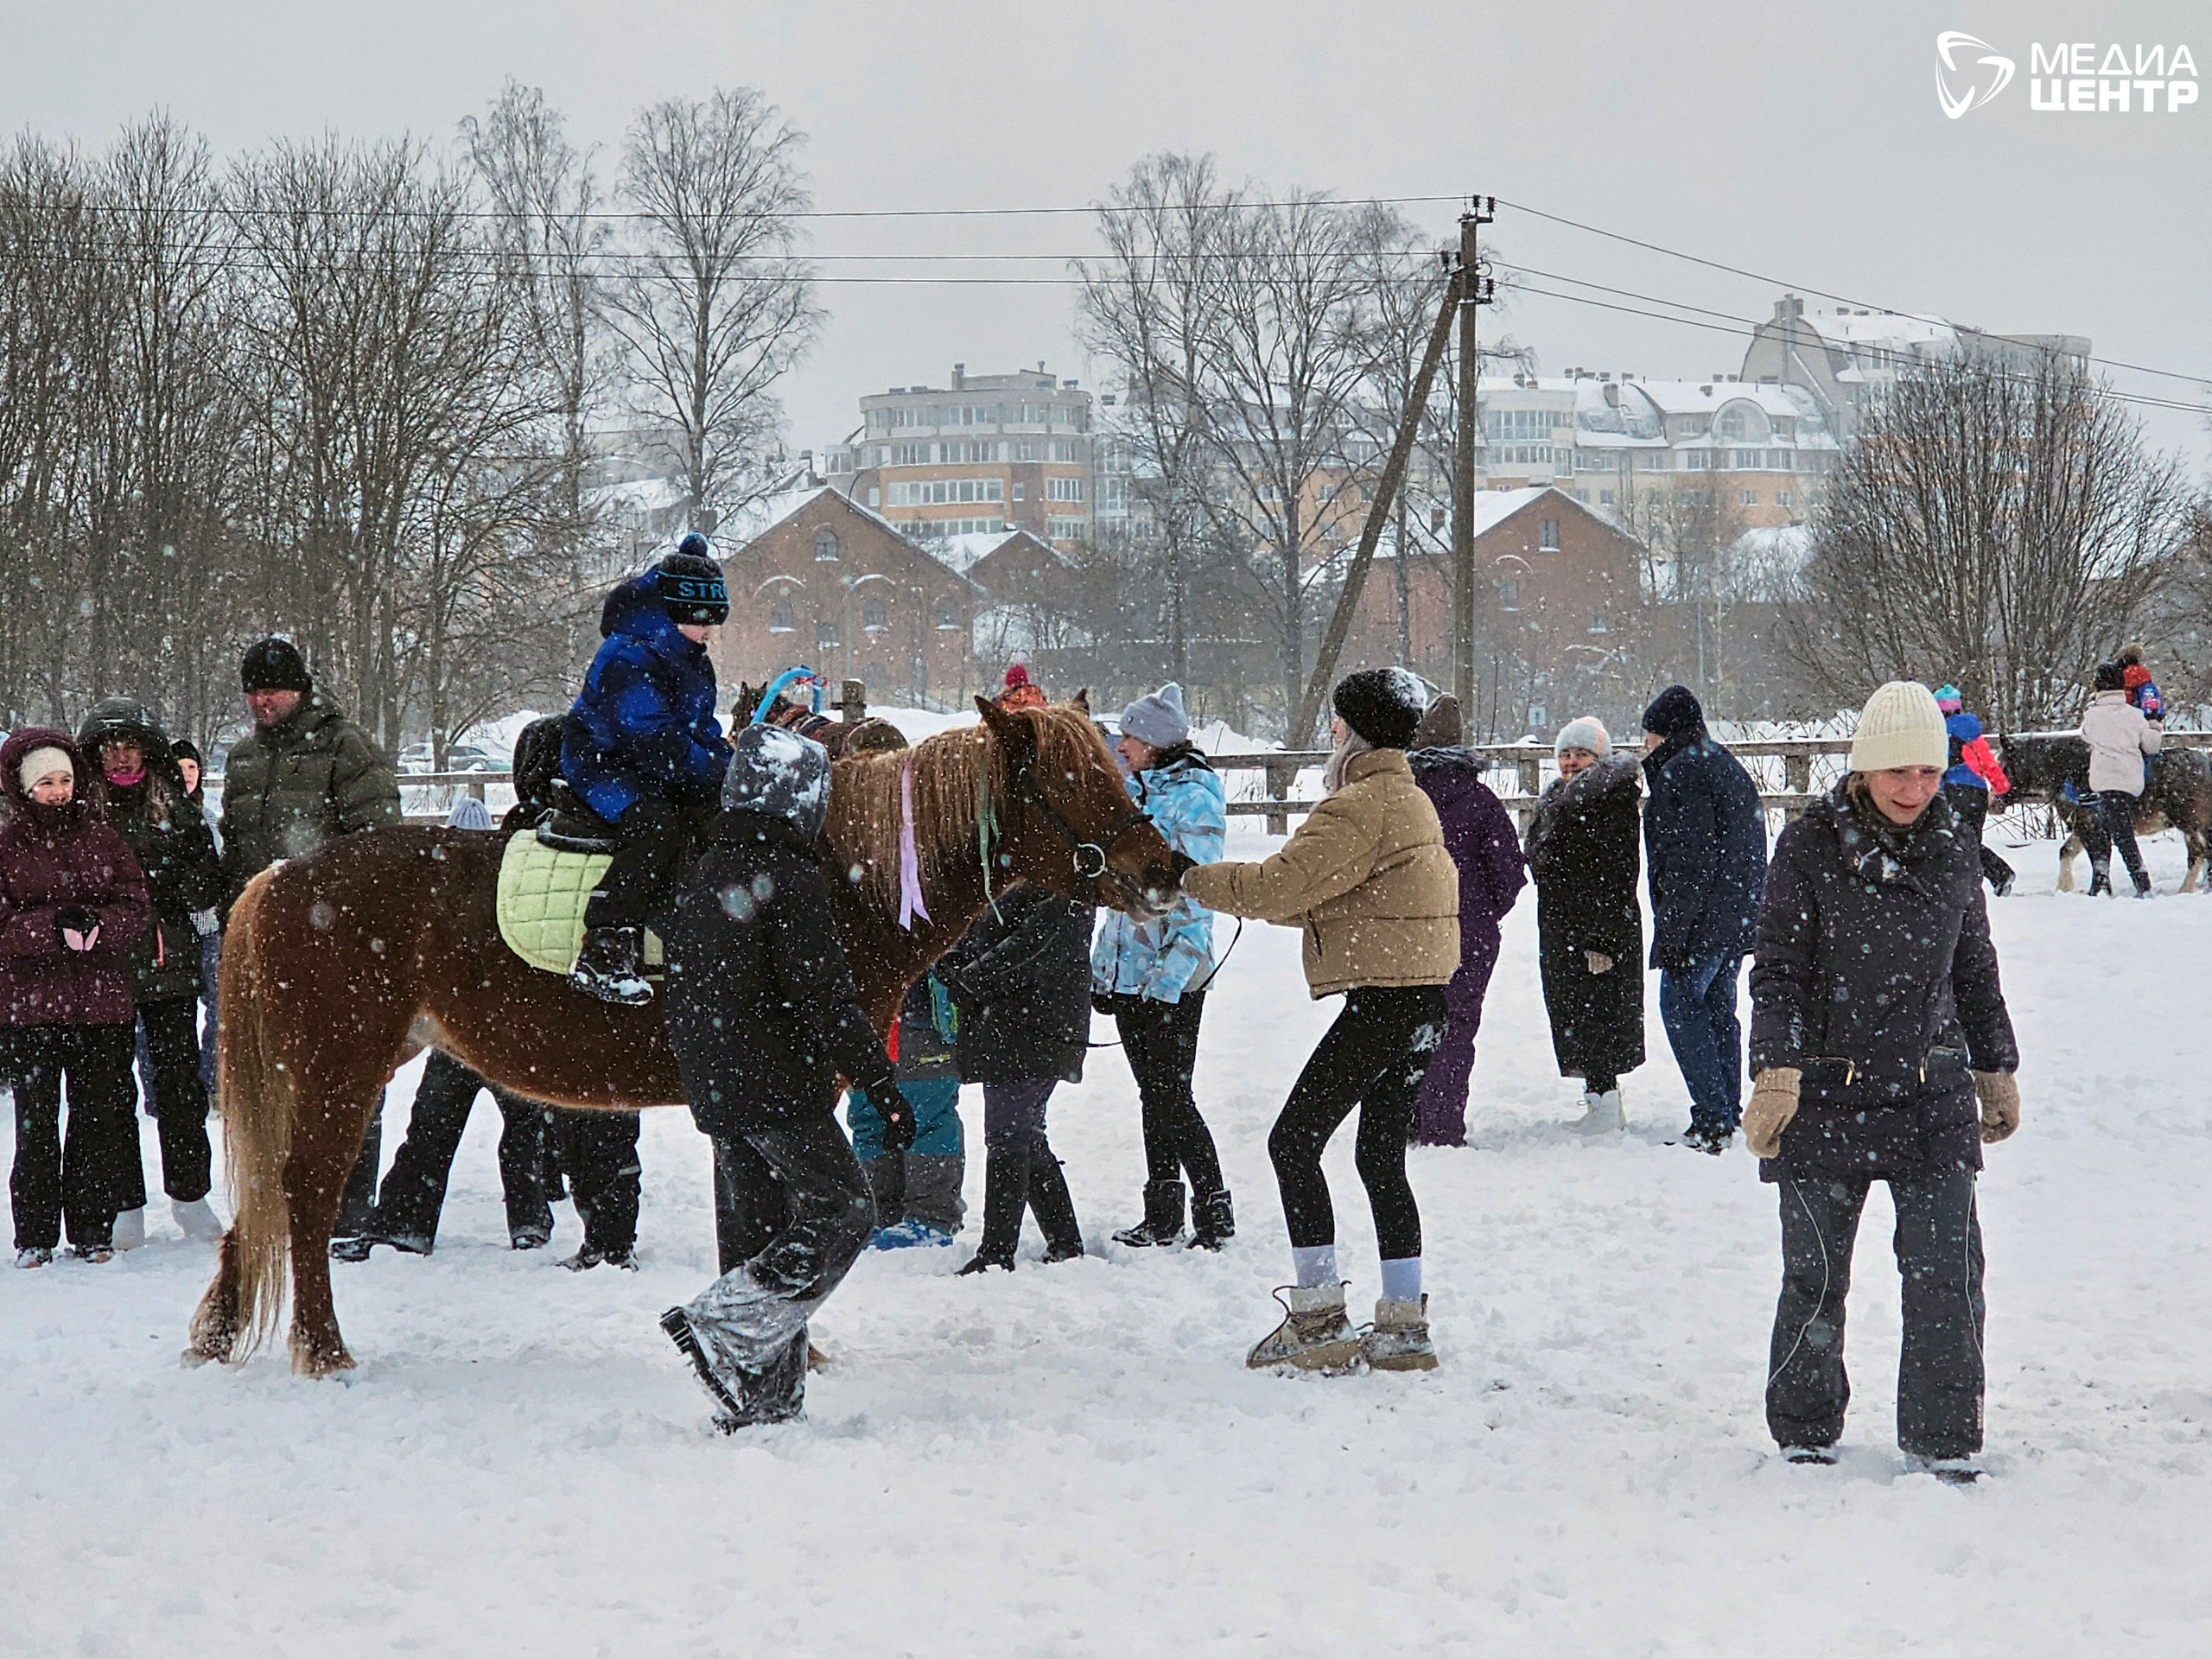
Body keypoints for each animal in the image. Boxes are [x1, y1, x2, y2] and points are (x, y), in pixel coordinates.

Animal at [187, 697, 1176, 1377]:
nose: (1169, 867)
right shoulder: (787, 1098)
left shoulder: (759, 1108)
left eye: (1116, 769)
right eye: (1072, 782)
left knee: (269, 1200)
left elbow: (759, 1230)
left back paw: (221, 1332)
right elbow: (779, 1231)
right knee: (302, 1199)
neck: (829, 875)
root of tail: (282, 874)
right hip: (337, 1073)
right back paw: (321, 1350)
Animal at [1997, 732, 2212, 892]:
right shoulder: (2082, 826)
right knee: (2198, 855)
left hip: (2192, 824)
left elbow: (2098, 861)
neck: (2072, 772)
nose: (1993, 802)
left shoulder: (2091, 827)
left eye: (2003, 766)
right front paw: (2064, 888)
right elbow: (2066, 852)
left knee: (2202, 853)